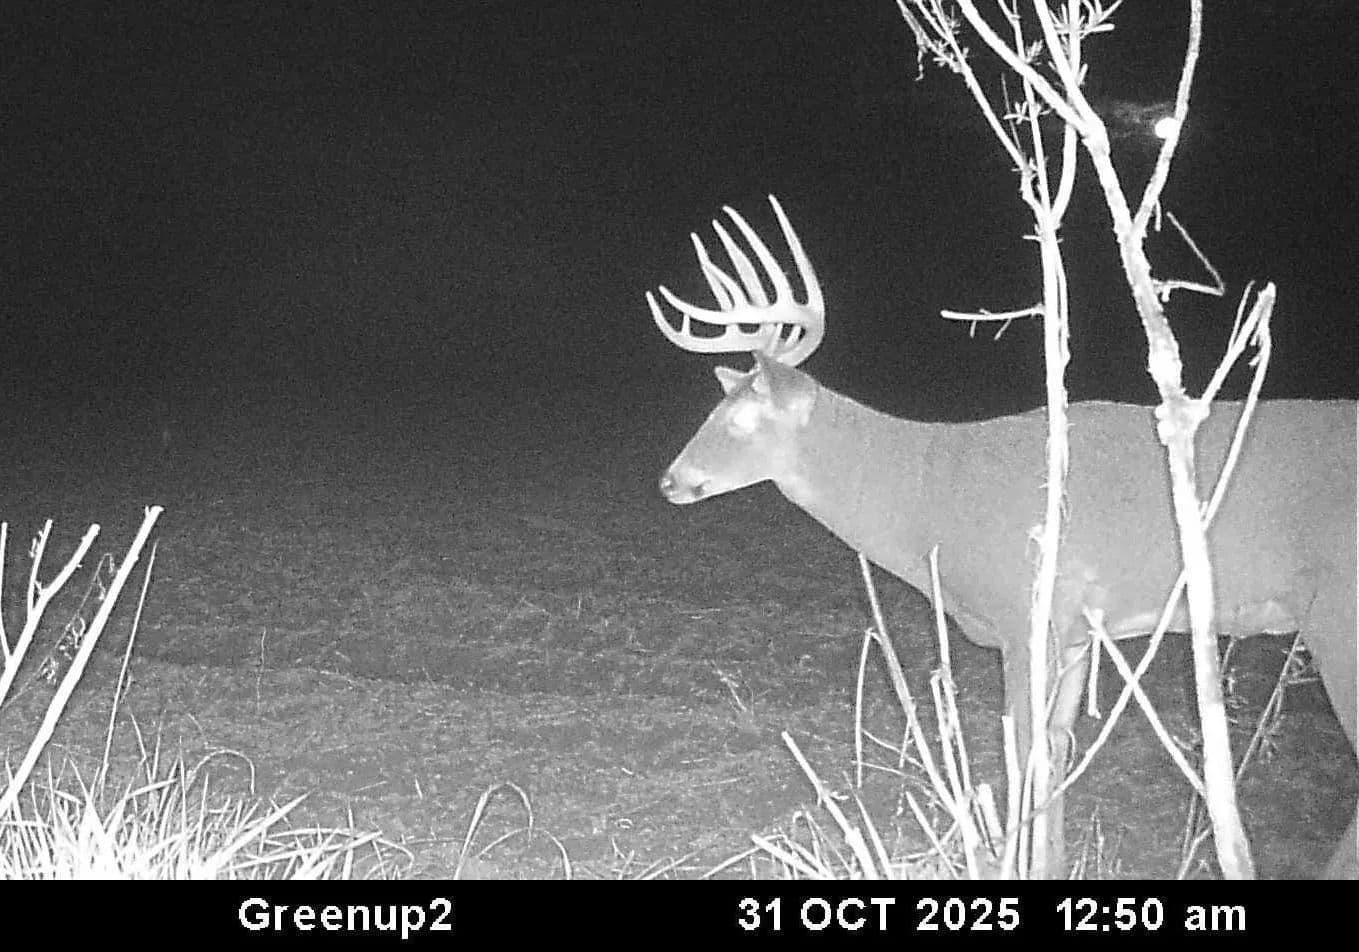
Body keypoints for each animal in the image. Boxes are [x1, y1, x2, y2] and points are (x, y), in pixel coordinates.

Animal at [646, 195, 1357, 879]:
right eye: (714, 408)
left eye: (741, 420)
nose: (670, 481)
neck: (930, 503)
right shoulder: (1076, 628)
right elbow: (1059, 749)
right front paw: (1054, 863)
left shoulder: (1025, 612)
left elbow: (1024, 748)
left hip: (1337, 614)